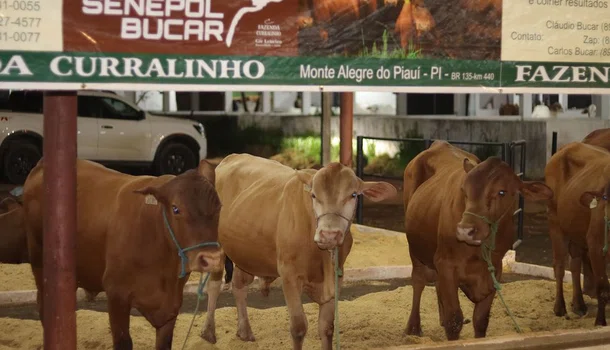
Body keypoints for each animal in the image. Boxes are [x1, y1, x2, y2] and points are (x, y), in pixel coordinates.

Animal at [23, 159, 226, 350]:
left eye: (219, 207)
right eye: (176, 208)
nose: (212, 259)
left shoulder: (172, 305)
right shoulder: (116, 294)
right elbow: (123, 342)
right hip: (40, 263)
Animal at [200, 155, 396, 350]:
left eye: (353, 195)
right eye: (314, 195)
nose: (329, 234)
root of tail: (230, 158)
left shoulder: (336, 278)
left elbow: (327, 328)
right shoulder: (289, 275)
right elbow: (298, 327)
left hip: (246, 253)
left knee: (239, 284)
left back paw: (245, 331)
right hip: (216, 246)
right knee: (214, 285)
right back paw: (208, 332)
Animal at [404, 141, 552, 340]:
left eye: (502, 191)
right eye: (464, 191)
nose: (465, 231)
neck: (477, 252)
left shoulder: (494, 270)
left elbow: (481, 319)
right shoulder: (446, 264)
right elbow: (454, 319)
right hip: (415, 247)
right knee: (419, 280)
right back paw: (413, 327)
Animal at [544, 142, 608, 326]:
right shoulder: (595, 244)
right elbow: (602, 286)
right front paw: (600, 322)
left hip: (575, 228)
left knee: (575, 263)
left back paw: (578, 304)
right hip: (554, 220)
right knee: (559, 265)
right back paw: (560, 307)